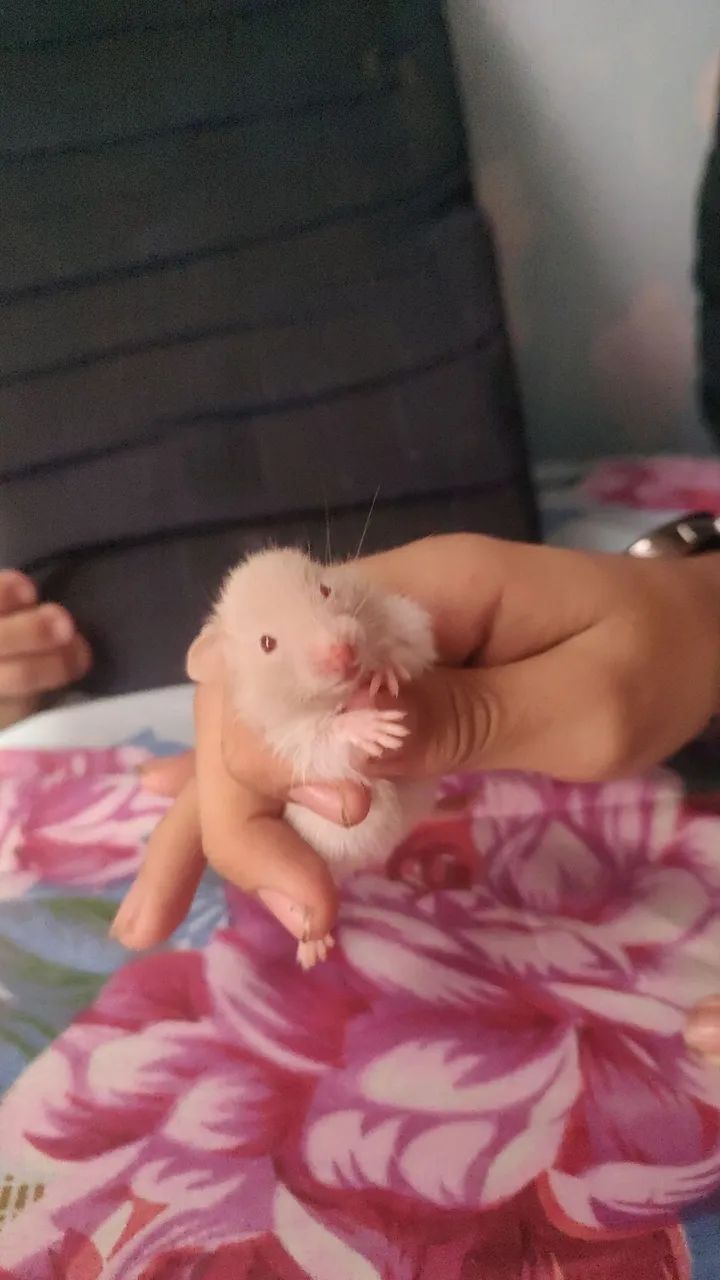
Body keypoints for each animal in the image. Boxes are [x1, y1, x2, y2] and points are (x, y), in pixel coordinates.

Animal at [187, 546, 437, 967]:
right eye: (267, 643)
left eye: (325, 589)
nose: (344, 654)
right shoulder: (282, 739)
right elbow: (319, 742)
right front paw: (368, 727)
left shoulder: (401, 613)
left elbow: (416, 640)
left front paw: (385, 668)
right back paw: (312, 947)